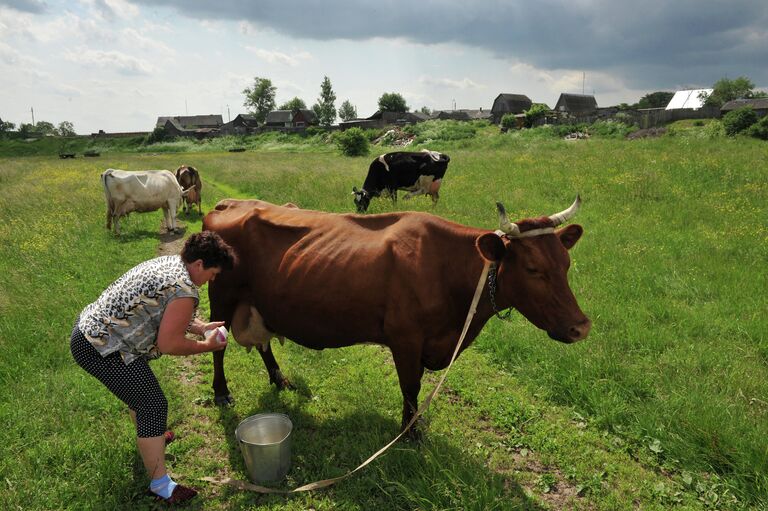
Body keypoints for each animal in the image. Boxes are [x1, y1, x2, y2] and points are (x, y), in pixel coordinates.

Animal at [202, 198, 588, 438]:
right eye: (533, 268)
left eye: (566, 263)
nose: (581, 326)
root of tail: (225, 205)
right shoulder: (405, 338)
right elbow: (410, 386)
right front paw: (409, 432)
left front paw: (413, 425)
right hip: (221, 298)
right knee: (218, 346)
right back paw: (222, 393)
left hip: (258, 302)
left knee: (264, 342)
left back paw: (280, 380)